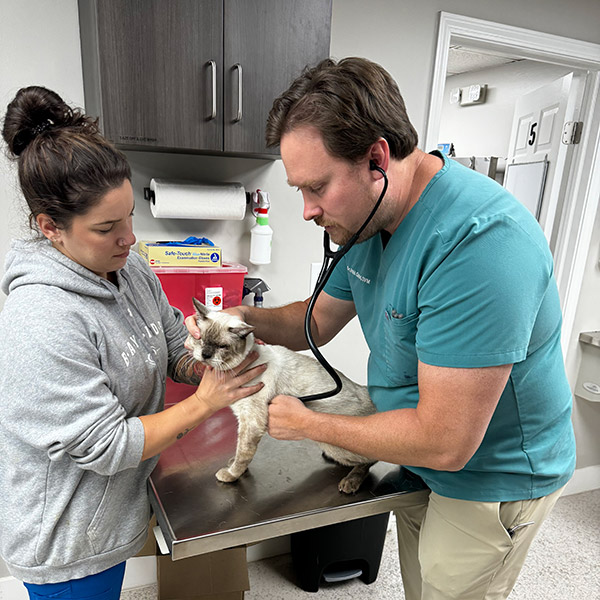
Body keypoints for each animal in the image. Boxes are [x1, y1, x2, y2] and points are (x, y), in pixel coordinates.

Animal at [185, 298, 378, 492]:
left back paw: (350, 481)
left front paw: (231, 474)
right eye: (199, 338)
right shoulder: (243, 417)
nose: (205, 354)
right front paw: (233, 465)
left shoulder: (251, 419)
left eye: (222, 347)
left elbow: (243, 453)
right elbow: (239, 450)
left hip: (335, 446)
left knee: (371, 459)